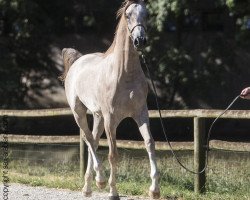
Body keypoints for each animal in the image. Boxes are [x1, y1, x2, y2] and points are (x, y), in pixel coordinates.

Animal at [60, 0, 160, 199]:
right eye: (128, 15)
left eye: (146, 14)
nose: (140, 40)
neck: (125, 73)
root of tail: (77, 61)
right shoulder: (111, 119)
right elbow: (113, 154)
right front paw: (113, 191)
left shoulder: (141, 114)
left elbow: (149, 144)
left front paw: (154, 189)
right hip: (79, 112)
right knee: (88, 139)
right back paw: (100, 180)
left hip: (98, 116)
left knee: (93, 140)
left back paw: (88, 187)